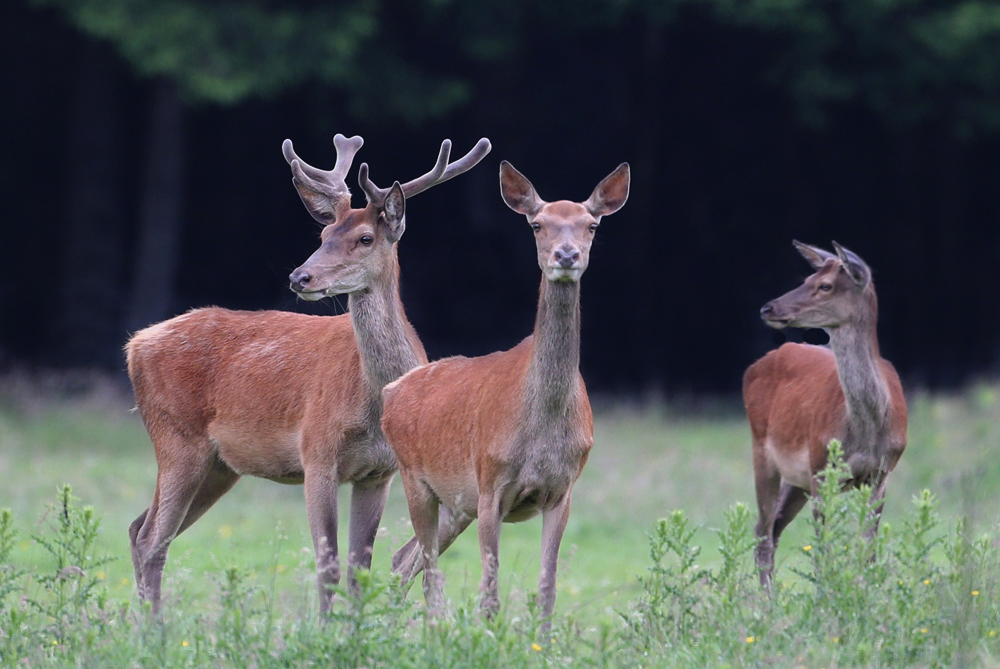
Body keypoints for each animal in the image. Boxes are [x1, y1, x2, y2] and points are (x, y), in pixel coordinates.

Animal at [127, 130, 490, 612]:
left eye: (365, 238)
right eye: (323, 233)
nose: (300, 277)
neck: (373, 403)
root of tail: (134, 345)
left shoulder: (379, 472)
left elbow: (358, 570)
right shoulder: (316, 451)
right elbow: (328, 565)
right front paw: (325, 628)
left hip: (218, 466)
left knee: (139, 529)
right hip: (176, 438)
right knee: (152, 539)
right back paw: (153, 628)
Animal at [378, 159, 628, 628]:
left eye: (591, 225)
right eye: (537, 224)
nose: (566, 255)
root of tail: (390, 391)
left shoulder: (562, 489)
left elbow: (547, 589)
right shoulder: (490, 484)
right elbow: (489, 595)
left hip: (455, 503)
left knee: (403, 561)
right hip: (415, 478)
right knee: (427, 573)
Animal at [744, 240, 908, 584]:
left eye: (825, 285)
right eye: (806, 279)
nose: (769, 308)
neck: (867, 431)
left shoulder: (883, 472)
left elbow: (867, 552)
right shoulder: (822, 468)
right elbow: (824, 551)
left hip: (797, 478)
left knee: (772, 529)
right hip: (762, 450)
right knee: (763, 533)